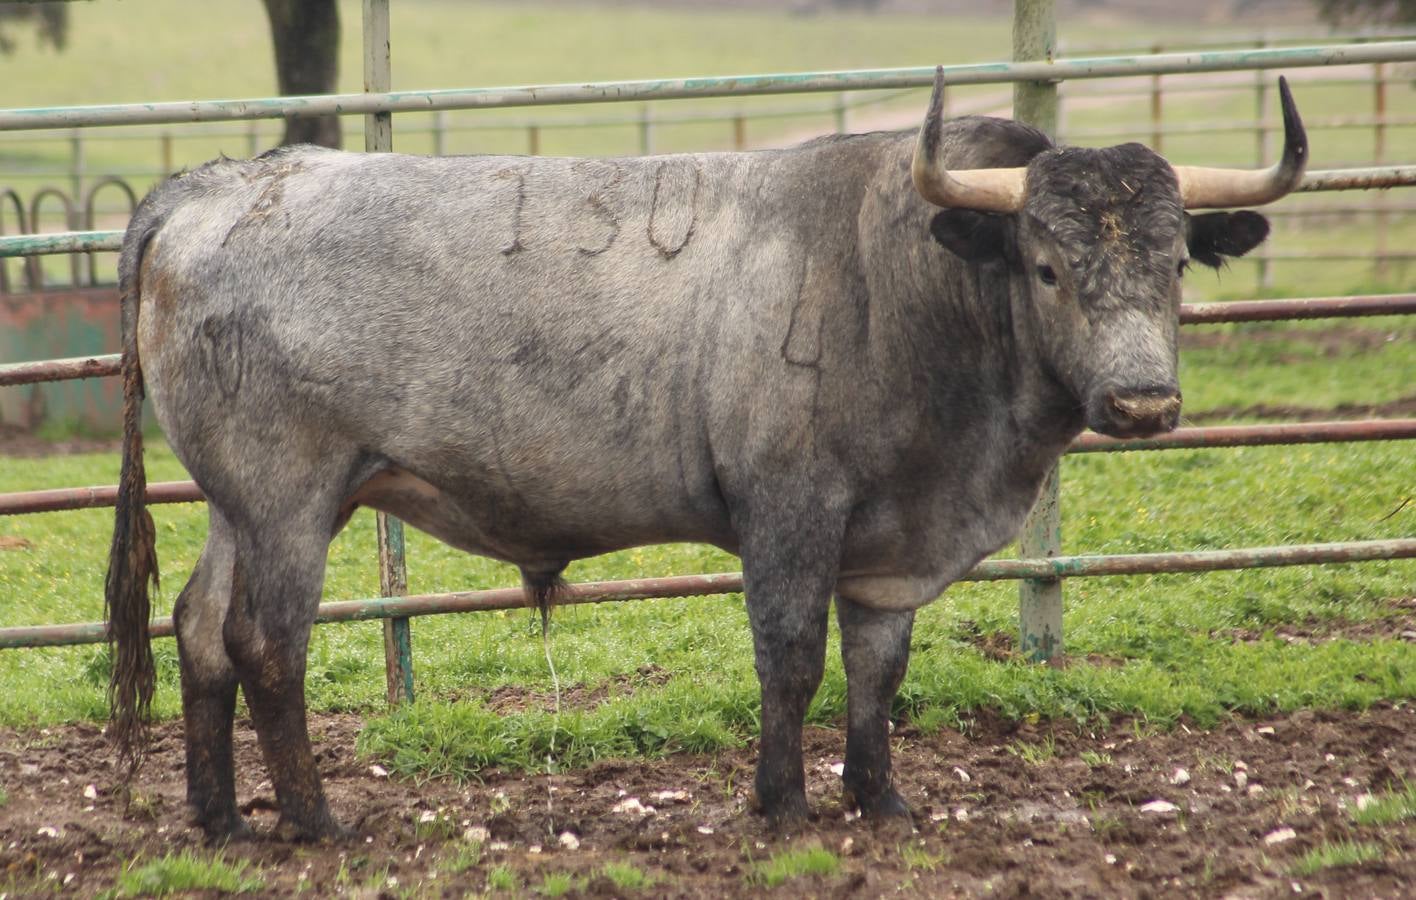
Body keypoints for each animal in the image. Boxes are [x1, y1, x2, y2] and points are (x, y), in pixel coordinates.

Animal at [107, 72, 1302, 843]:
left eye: (1175, 265)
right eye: (1047, 267)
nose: (1142, 400)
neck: (894, 280)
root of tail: (221, 184)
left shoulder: (891, 547)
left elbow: (878, 668)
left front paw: (881, 800)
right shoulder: (789, 510)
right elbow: (792, 657)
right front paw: (783, 806)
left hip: (236, 503)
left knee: (200, 630)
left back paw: (221, 821)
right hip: (290, 496)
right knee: (266, 644)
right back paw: (314, 822)